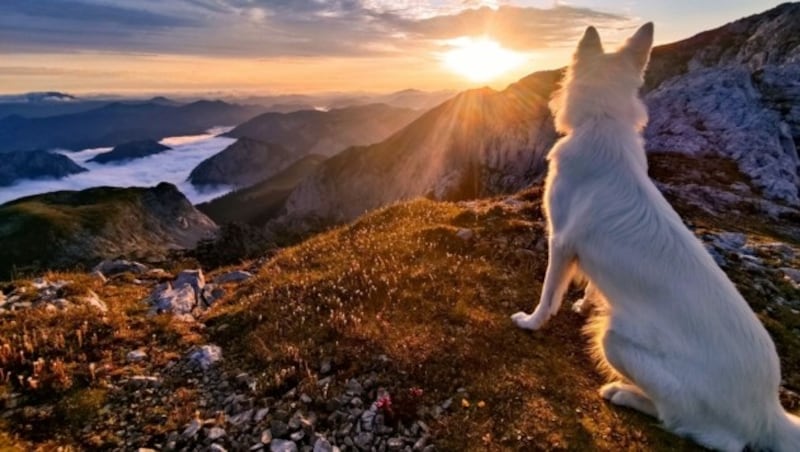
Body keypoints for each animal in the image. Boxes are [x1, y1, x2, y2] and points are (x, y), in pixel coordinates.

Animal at [512, 23, 800, 450]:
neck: (603, 123)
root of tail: (766, 410)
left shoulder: (561, 241)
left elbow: (549, 294)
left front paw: (531, 322)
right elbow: (591, 286)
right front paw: (585, 302)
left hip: (615, 340)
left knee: (694, 427)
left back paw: (623, 393)